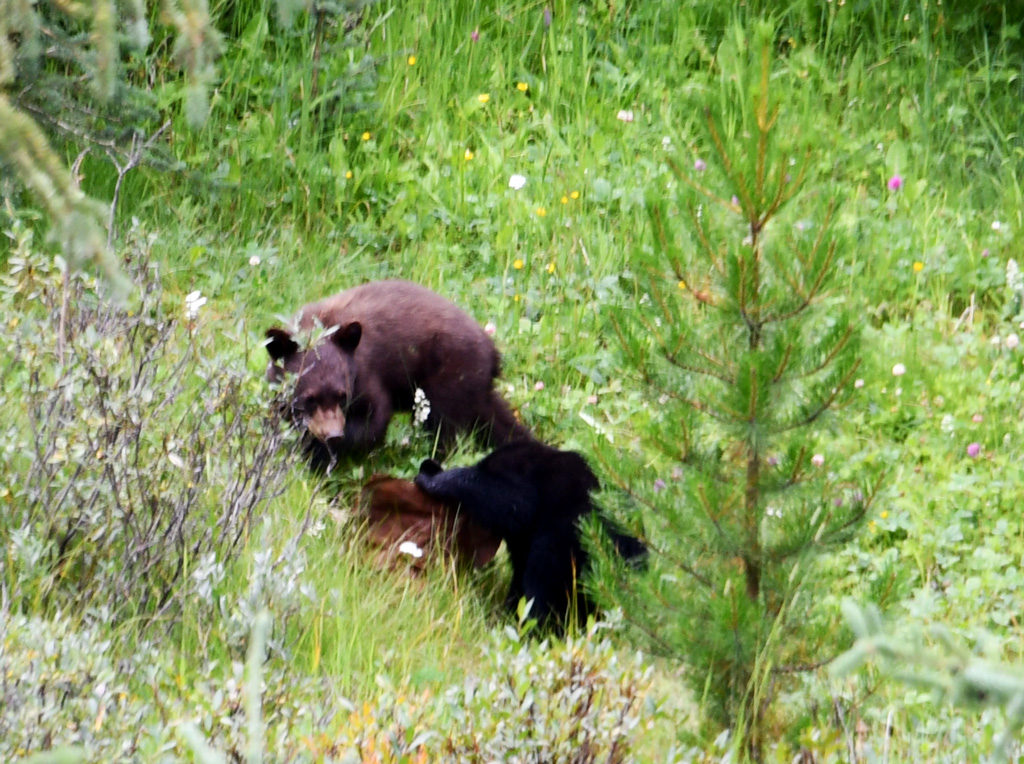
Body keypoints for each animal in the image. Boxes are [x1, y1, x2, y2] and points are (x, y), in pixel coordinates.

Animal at [266, 280, 528, 471]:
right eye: (309, 398)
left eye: (342, 395)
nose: (333, 436)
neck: (316, 326)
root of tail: (492, 351)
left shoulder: (365, 375)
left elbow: (374, 417)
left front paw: (319, 453)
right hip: (475, 385)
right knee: (497, 421)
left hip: (453, 375)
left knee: (445, 428)